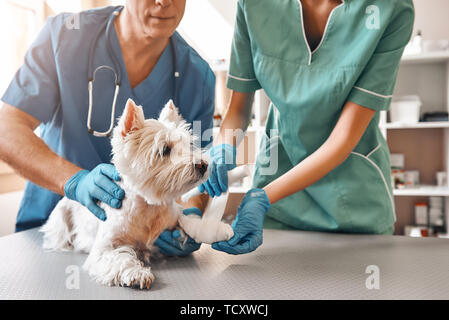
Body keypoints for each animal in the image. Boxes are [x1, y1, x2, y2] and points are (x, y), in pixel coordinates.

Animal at [39, 99, 207, 288]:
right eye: (165, 149)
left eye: (188, 145)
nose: (203, 165)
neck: (148, 208)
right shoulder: (104, 249)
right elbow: (120, 259)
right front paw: (137, 273)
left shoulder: (172, 218)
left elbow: (186, 222)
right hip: (60, 220)